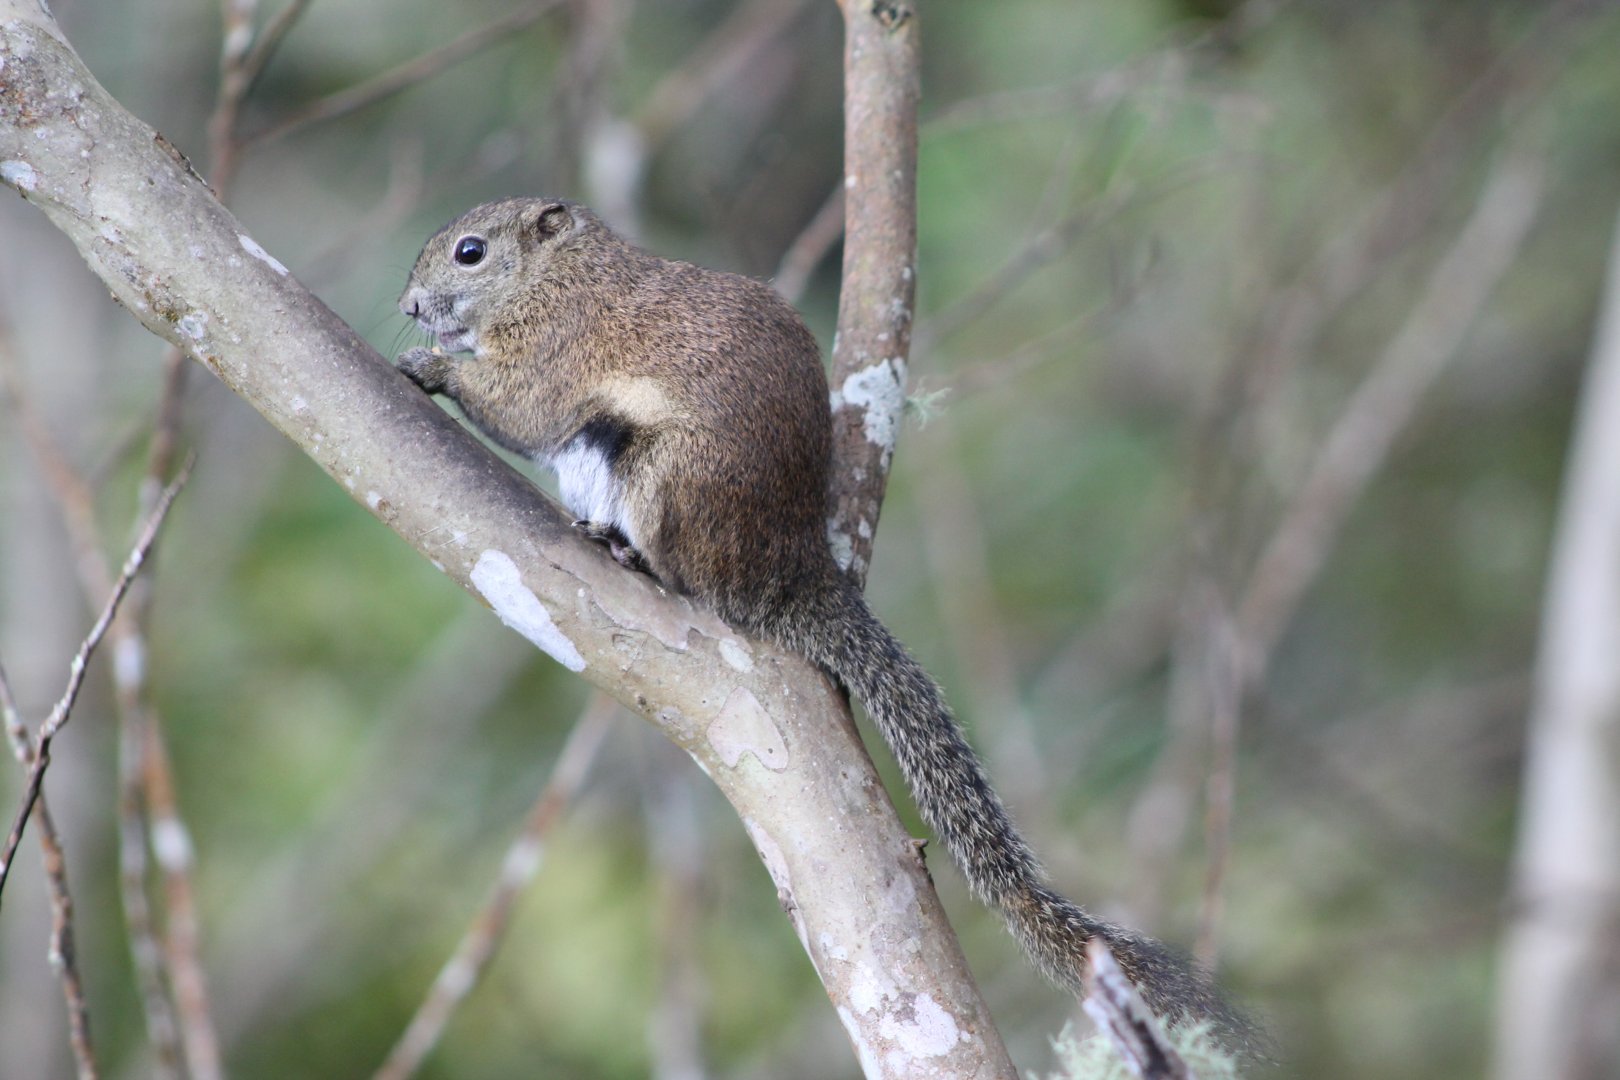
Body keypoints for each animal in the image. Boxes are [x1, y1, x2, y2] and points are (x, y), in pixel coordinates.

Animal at [397, 197, 1257, 1050]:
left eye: (470, 251)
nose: (408, 306)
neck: (558, 277)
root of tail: (783, 574)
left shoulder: (558, 347)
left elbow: (522, 407)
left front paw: (432, 367)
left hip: (665, 478)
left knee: (687, 573)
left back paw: (631, 552)